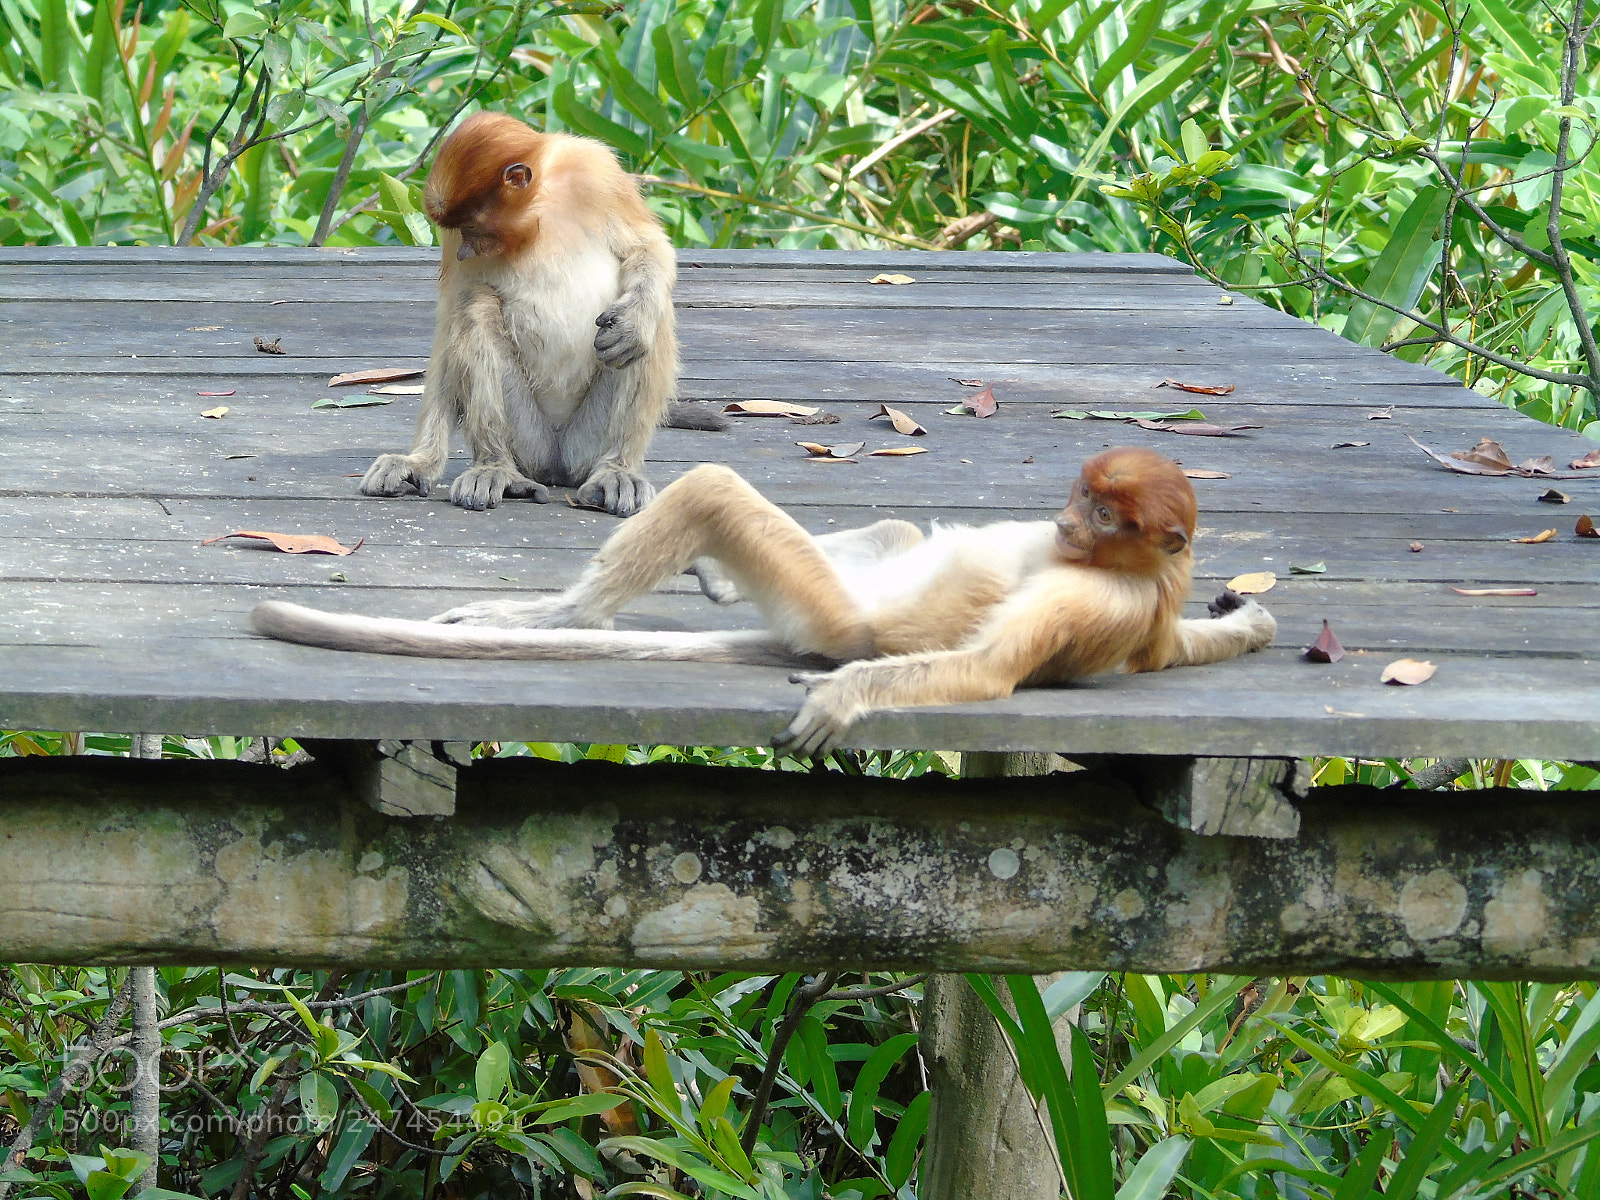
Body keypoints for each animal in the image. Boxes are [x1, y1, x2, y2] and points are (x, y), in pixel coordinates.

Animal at [254, 447, 1277, 756]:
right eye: (1079, 495)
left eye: (1106, 513)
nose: (1065, 523)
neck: (1142, 573)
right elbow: (1168, 648)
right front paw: (1246, 620)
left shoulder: (1090, 598)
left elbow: (989, 668)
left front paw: (844, 700)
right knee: (897, 532)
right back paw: (707, 578)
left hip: (830, 613)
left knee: (713, 489)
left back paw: (555, 617)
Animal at [359, 112, 676, 517]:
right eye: (459, 231)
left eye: (473, 226)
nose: (463, 252)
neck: (539, 208)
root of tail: (557, 465)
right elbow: (450, 317)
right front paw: (417, 462)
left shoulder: (596, 170)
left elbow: (648, 247)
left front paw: (633, 326)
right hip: (529, 439)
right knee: (475, 304)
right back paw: (496, 469)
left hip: (585, 441)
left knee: (653, 322)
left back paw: (617, 471)